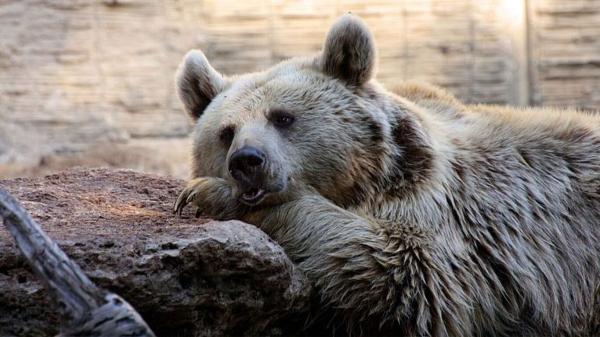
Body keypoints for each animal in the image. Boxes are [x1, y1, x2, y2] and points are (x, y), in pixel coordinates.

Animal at [171, 13, 600, 336]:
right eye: (226, 132)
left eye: (282, 117)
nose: (247, 161)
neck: (366, 180)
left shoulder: (454, 217)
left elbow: (402, 273)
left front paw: (207, 194)